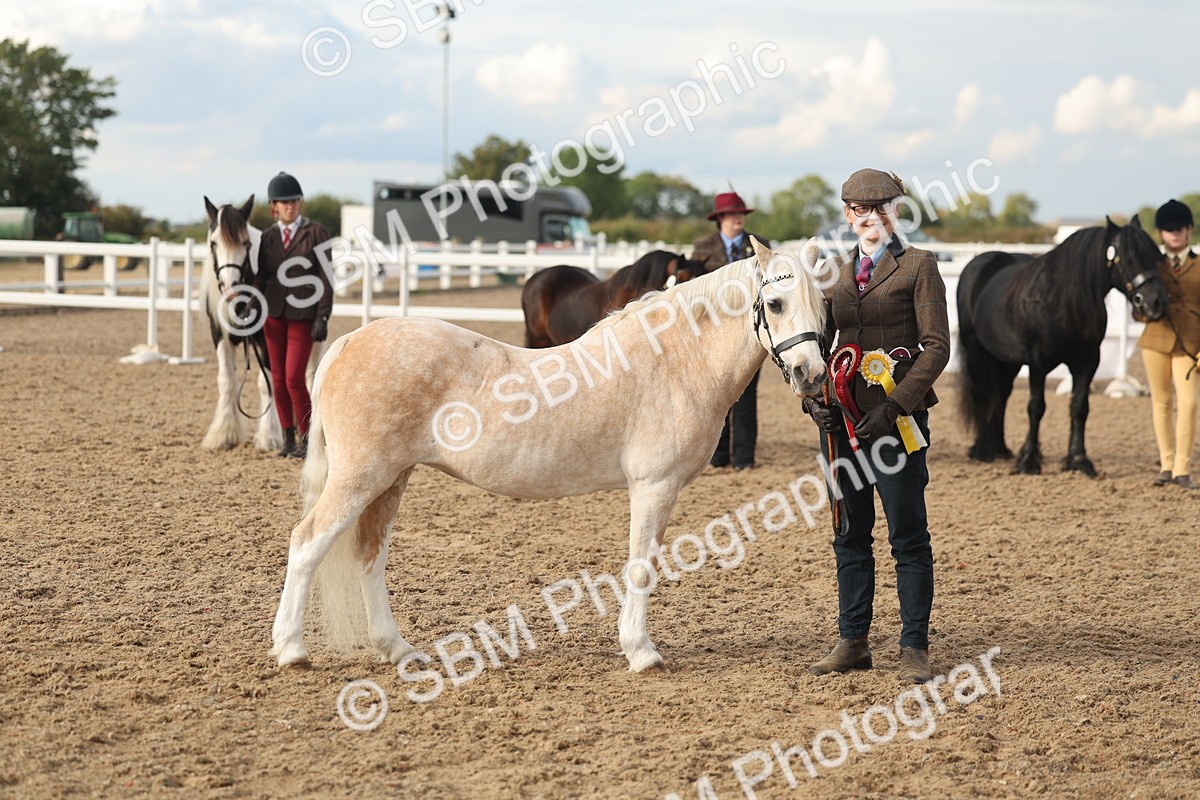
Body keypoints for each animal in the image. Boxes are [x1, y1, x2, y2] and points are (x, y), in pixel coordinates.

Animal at [199, 195, 281, 452]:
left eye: (246, 244)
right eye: (213, 243)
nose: (230, 286)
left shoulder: (265, 339)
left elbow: (267, 383)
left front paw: (268, 436)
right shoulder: (220, 337)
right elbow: (226, 381)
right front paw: (224, 434)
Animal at [957, 215, 1169, 476]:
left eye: (1156, 256)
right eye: (1128, 258)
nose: (1156, 302)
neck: (1063, 301)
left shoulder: (1087, 362)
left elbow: (1079, 407)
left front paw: (1078, 459)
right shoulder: (1038, 363)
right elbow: (1036, 407)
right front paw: (1029, 461)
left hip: (1007, 360)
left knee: (1002, 395)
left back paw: (1001, 449)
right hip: (975, 350)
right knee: (980, 392)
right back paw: (982, 450)